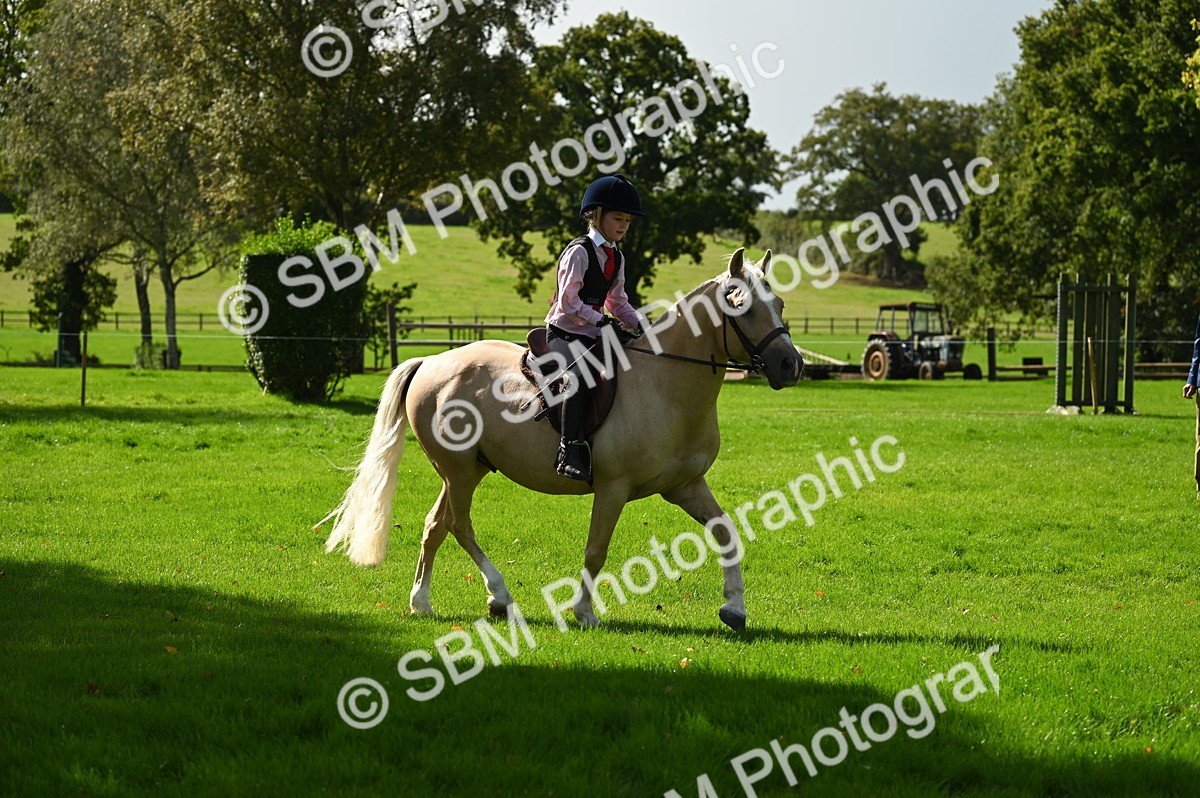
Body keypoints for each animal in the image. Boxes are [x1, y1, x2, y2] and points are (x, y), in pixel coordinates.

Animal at [320, 248, 802, 630]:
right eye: (742, 308)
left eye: (778, 303)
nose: (791, 366)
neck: (665, 385)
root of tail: (431, 362)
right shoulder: (613, 488)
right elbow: (596, 550)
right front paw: (584, 613)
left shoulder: (684, 486)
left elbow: (726, 532)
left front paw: (735, 609)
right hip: (458, 472)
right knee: (458, 525)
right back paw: (500, 597)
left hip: (468, 469)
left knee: (435, 525)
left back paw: (422, 602)